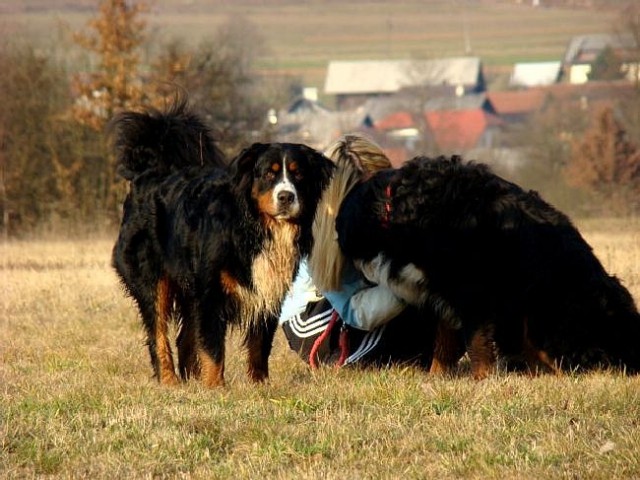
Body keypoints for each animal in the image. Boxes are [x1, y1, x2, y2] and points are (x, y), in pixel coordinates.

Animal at [109, 100, 332, 386]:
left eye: (298, 175)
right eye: (268, 174)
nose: (285, 196)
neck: (255, 226)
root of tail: (146, 174)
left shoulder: (268, 288)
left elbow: (259, 344)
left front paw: (259, 384)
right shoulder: (210, 291)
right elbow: (213, 347)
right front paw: (216, 386)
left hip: (188, 288)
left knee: (185, 339)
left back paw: (192, 381)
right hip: (152, 278)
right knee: (158, 335)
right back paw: (171, 381)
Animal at [336, 156, 640, 376]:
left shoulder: (472, 289)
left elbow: (476, 344)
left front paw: (481, 380)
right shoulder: (440, 293)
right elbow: (444, 344)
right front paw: (436, 378)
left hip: (551, 309)